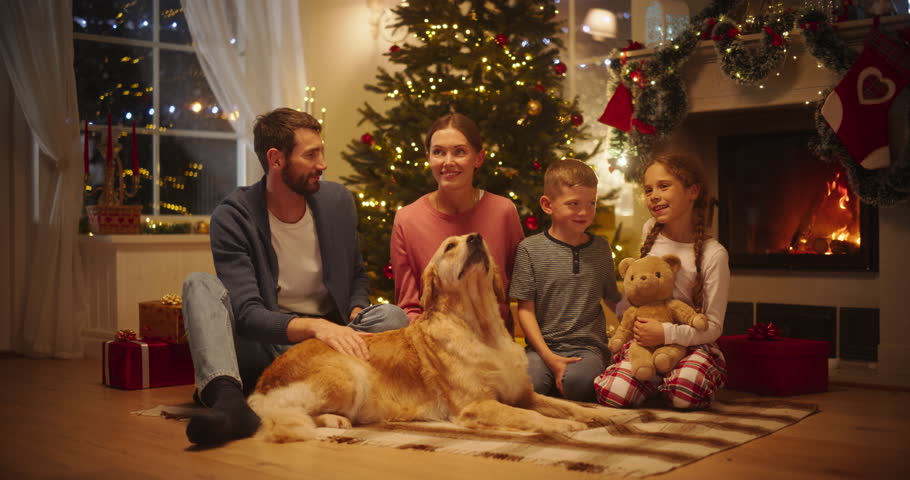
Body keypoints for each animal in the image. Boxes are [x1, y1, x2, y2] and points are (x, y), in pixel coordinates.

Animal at [248, 232, 620, 442]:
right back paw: (332, 421)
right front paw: (560, 426)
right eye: (450, 246)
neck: (480, 327)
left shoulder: (524, 394)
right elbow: (531, 417)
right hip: (348, 375)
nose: (476, 238)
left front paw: (606, 416)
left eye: (475, 239)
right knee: (284, 415)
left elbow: (568, 404)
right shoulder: (477, 405)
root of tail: (261, 382)